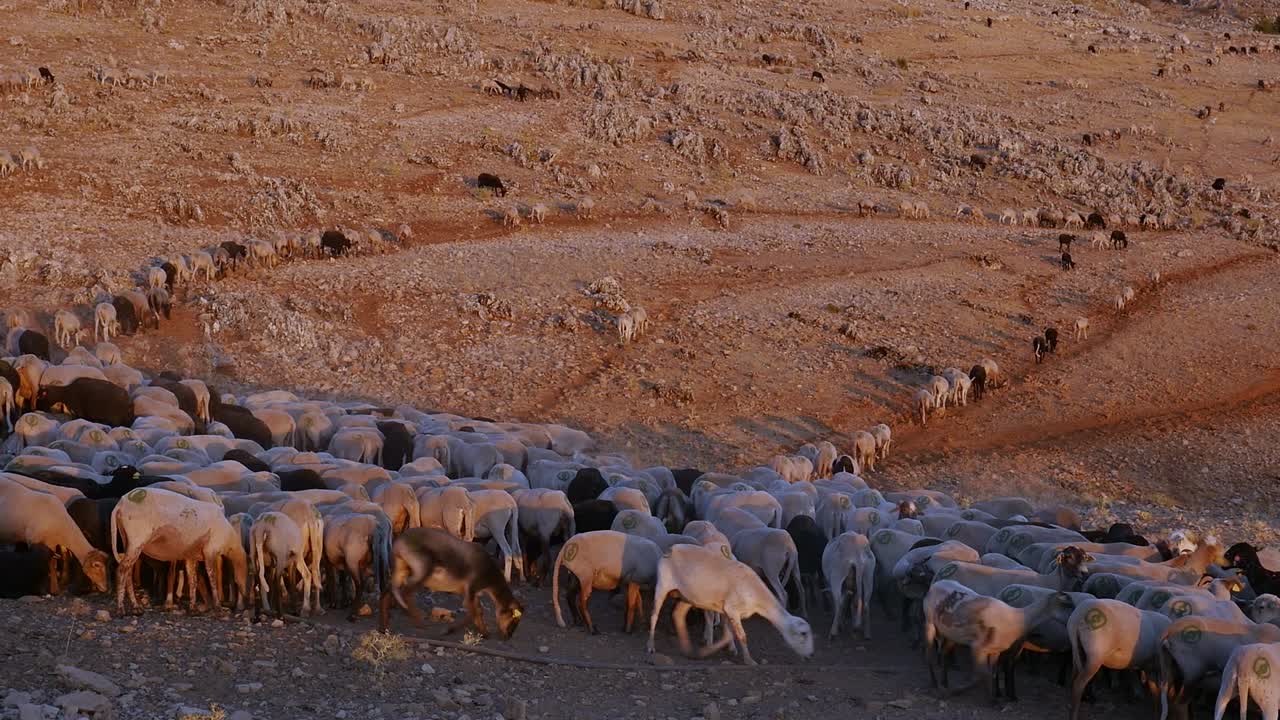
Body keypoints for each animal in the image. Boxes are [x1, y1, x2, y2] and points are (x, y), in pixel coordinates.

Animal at [647, 543, 814, 665]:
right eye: (803, 634)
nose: (811, 655)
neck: (757, 597)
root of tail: (670, 549)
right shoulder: (731, 609)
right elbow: (741, 636)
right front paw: (749, 661)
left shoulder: (726, 609)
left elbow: (728, 634)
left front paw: (711, 651)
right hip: (663, 585)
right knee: (654, 616)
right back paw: (651, 647)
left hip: (687, 595)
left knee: (678, 614)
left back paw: (686, 647)